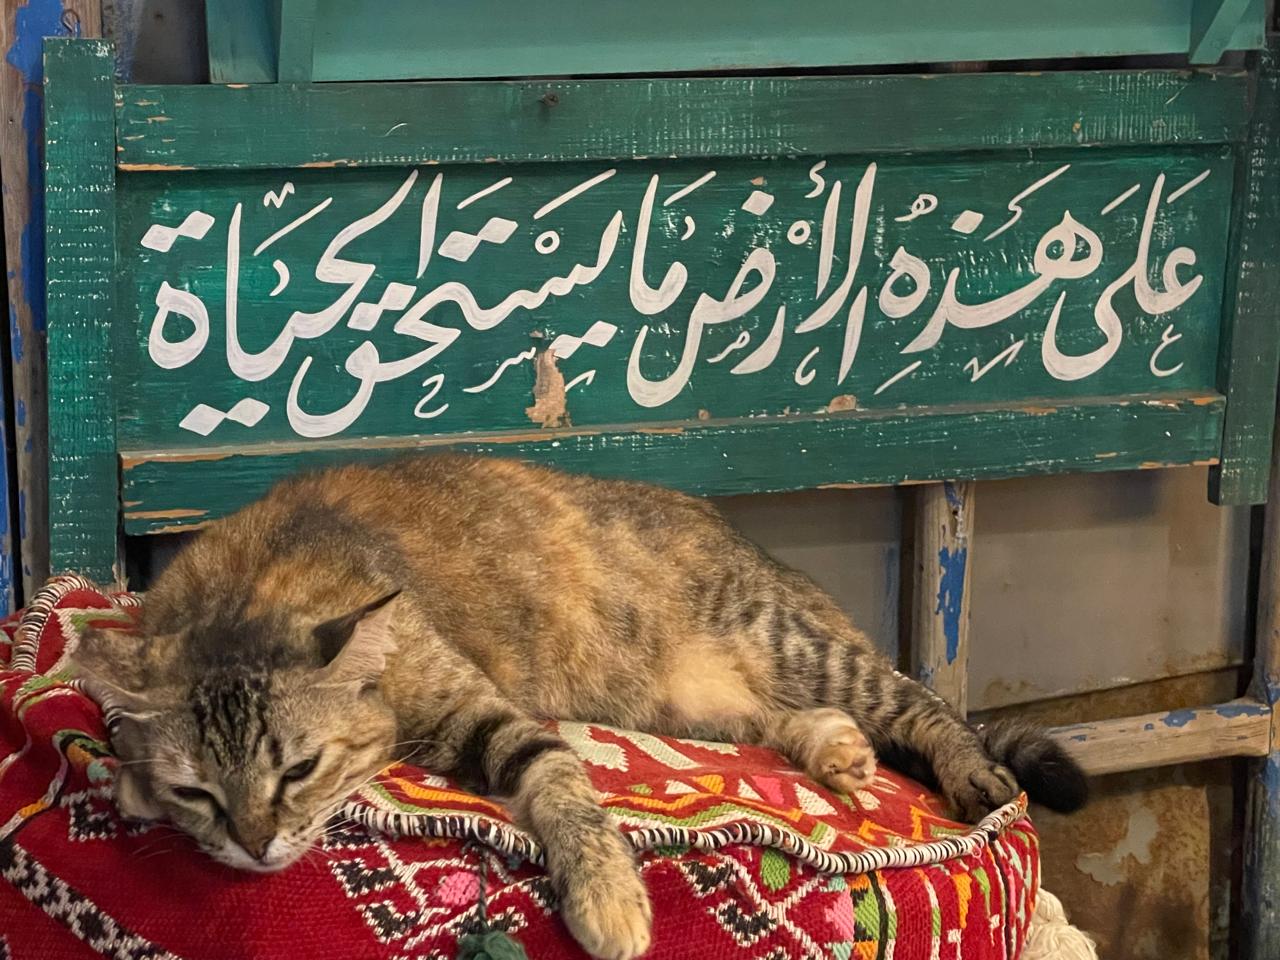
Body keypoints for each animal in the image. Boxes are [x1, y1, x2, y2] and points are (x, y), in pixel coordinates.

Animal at [70, 455, 1085, 960]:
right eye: (201, 793)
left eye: (301, 769)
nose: (250, 844)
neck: (253, 584)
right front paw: (129, 784)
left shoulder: (481, 711)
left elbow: (562, 785)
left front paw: (607, 895)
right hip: (685, 700)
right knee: (775, 720)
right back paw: (833, 750)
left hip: (795, 644)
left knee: (921, 704)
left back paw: (969, 771)